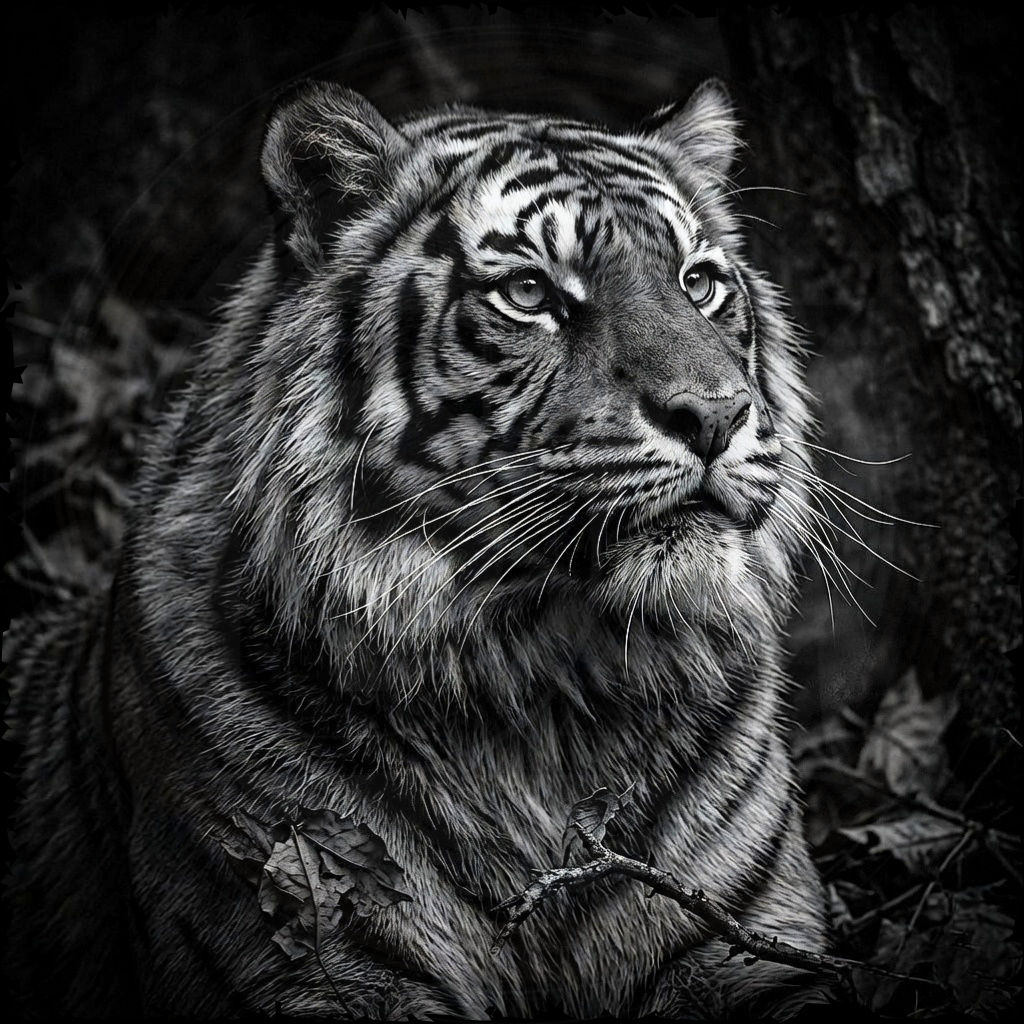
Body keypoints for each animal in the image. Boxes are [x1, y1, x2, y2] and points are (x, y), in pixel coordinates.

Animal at [5, 78, 828, 1019]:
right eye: (530, 292)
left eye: (698, 282)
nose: (717, 415)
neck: (551, 684)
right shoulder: (313, 958)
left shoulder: (744, 949)